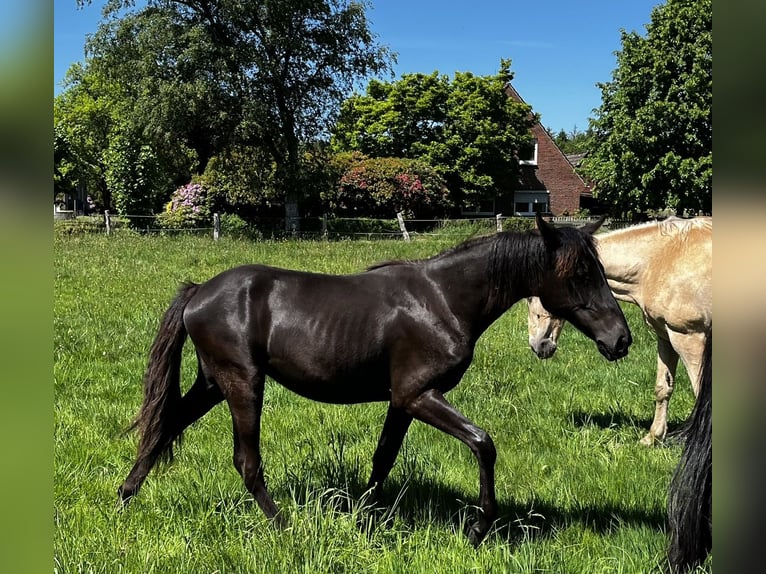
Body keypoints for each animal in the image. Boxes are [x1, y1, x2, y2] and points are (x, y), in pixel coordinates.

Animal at [118, 213, 632, 547]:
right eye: (580, 273)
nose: (621, 339)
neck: (443, 299)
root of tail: (198, 292)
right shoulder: (419, 394)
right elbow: (483, 443)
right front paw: (477, 529)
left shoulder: (401, 401)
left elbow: (383, 459)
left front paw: (362, 522)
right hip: (242, 383)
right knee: (246, 462)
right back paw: (285, 528)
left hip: (212, 384)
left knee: (164, 427)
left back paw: (124, 498)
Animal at [526, 216, 712, 445]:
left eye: (531, 295)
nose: (538, 345)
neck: (661, 259)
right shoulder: (666, 336)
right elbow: (663, 387)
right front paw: (653, 437)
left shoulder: (689, 338)